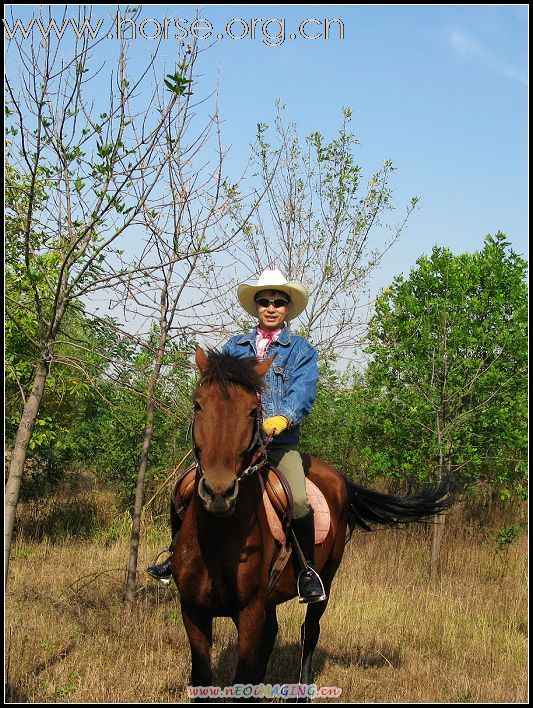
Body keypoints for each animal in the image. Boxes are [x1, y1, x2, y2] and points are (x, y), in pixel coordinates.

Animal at [171, 348, 454, 696]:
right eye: (198, 404)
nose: (218, 492)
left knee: (310, 632)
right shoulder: (193, 611)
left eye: (253, 411)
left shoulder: (249, 612)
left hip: (326, 581)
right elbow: (202, 677)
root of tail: (338, 477)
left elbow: (243, 676)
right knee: (274, 632)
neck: (218, 541)